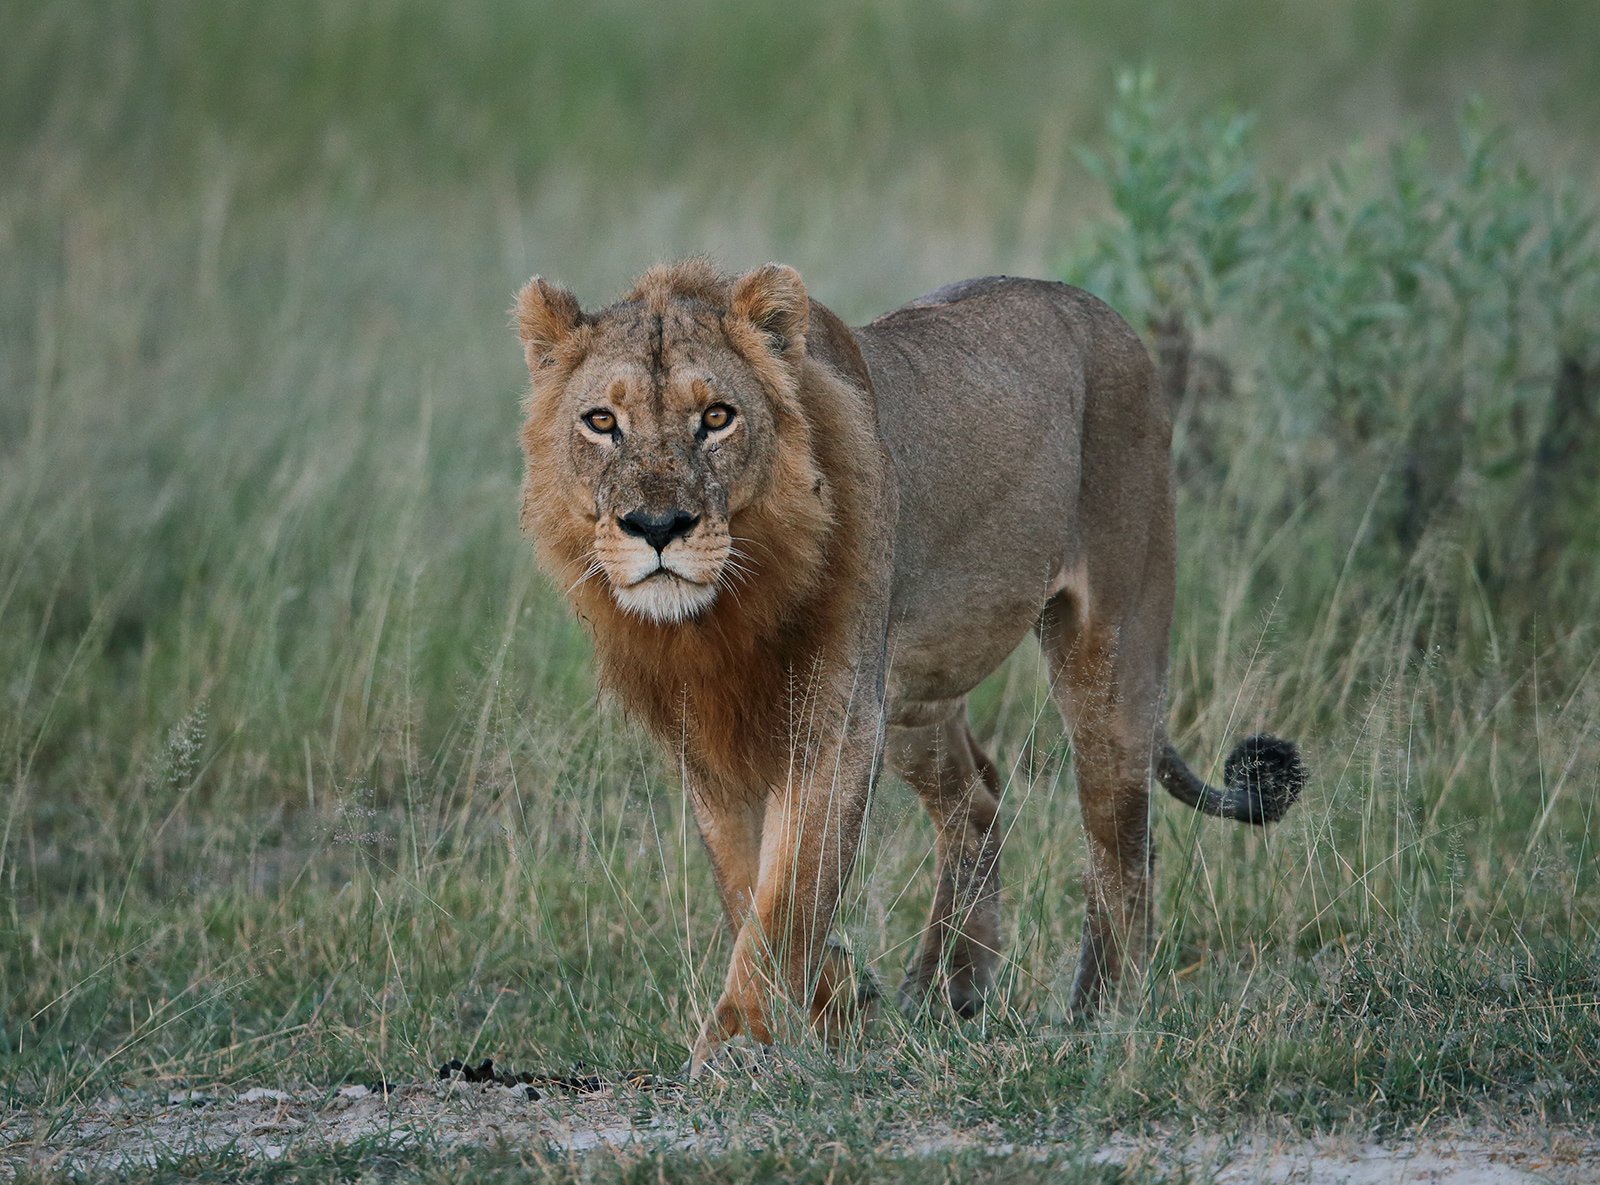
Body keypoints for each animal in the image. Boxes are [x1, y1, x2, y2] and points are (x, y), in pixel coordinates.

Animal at [513, 259, 1304, 1077]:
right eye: (601, 422)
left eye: (718, 417)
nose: (657, 527)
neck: (725, 614)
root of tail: (1099, 310)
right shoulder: (708, 738)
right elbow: (749, 887)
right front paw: (834, 1008)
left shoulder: (838, 716)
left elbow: (789, 890)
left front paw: (741, 1044)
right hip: (914, 705)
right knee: (978, 798)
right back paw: (947, 987)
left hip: (1110, 646)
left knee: (1122, 838)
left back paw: (1101, 1014)